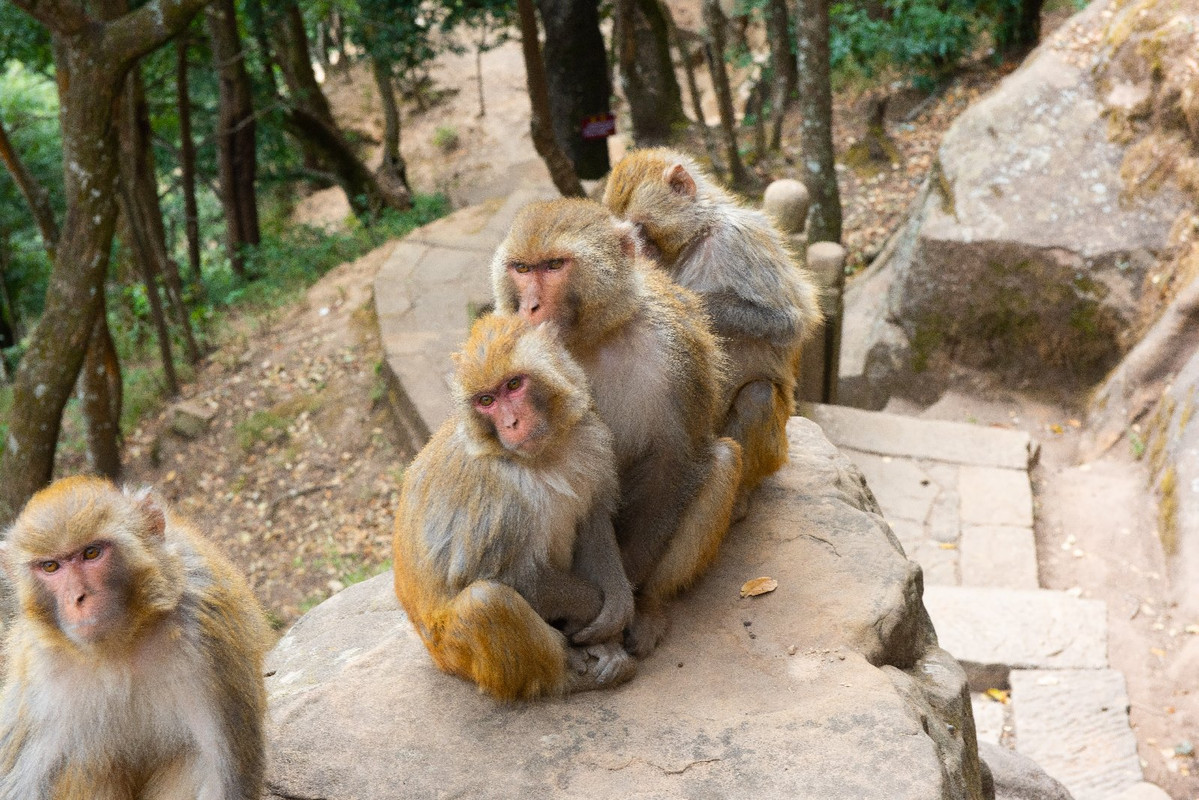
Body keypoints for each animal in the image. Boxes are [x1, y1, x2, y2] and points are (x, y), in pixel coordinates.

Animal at [390, 311, 637, 700]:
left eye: (514, 384)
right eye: (486, 401)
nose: (511, 422)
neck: (543, 458)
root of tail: (435, 656)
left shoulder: (590, 438)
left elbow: (592, 519)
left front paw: (616, 607)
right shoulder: (495, 494)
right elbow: (490, 575)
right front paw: (592, 607)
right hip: (456, 654)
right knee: (487, 603)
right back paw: (565, 678)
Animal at [491, 199, 743, 657]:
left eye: (554, 265)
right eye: (521, 268)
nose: (529, 307)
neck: (587, 340)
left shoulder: (675, 350)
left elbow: (673, 463)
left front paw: (626, 599)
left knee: (721, 461)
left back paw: (649, 605)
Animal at [599, 149, 824, 510]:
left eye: (641, 227)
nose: (636, 250)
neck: (695, 238)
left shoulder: (738, 241)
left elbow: (787, 321)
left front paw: (693, 301)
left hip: (773, 450)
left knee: (758, 396)